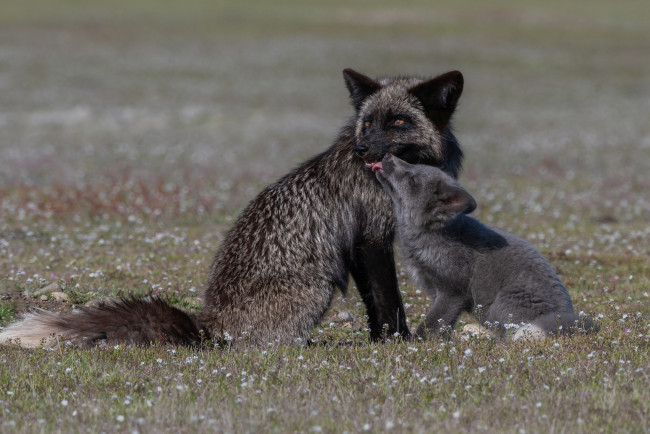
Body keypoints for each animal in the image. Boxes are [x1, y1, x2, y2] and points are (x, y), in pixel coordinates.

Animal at [0, 69, 466, 348]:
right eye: (367, 122)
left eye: (398, 122)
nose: (362, 148)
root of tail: (210, 325)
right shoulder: (372, 237)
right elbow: (388, 302)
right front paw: (397, 342)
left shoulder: (359, 246)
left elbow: (374, 303)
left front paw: (382, 341)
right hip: (316, 288)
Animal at [374, 154, 598, 339]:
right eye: (413, 163)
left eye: (412, 180)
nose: (387, 156)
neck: (431, 238)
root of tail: (564, 314)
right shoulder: (440, 294)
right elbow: (444, 326)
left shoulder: (452, 292)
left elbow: (430, 325)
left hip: (501, 304)